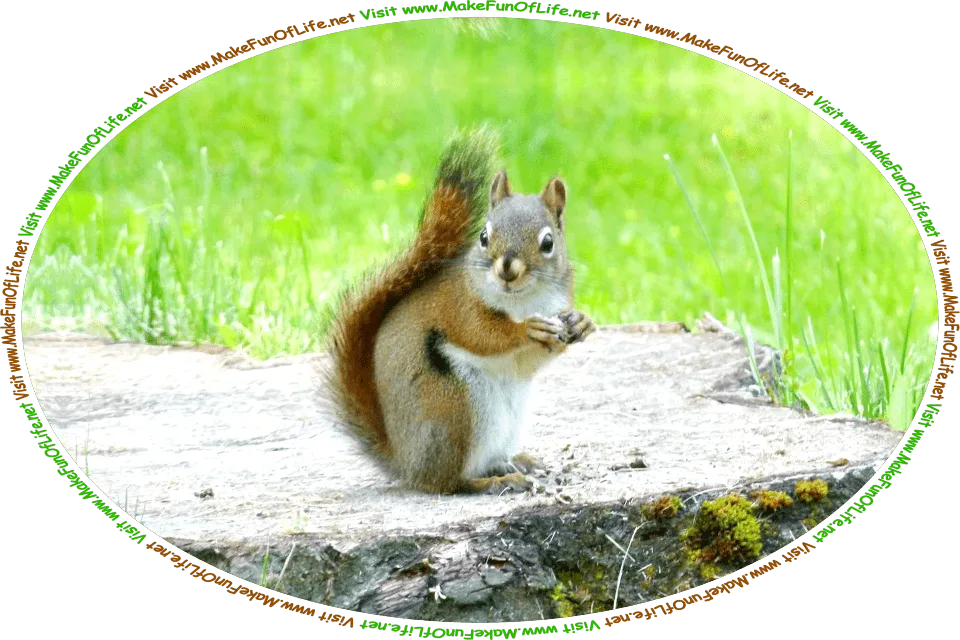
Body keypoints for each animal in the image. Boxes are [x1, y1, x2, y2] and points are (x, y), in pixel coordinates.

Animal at [326, 129, 596, 495]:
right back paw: (495, 480)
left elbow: (531, 360)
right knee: (448, 482)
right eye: (483, 236)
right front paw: (526, 330)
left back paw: (518, 462)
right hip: (454, 410)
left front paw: (581, 322)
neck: (522, 301)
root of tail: (406, 463)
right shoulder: (459, 306)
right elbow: (481, 334)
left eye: (548, 243)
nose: (507, 268)